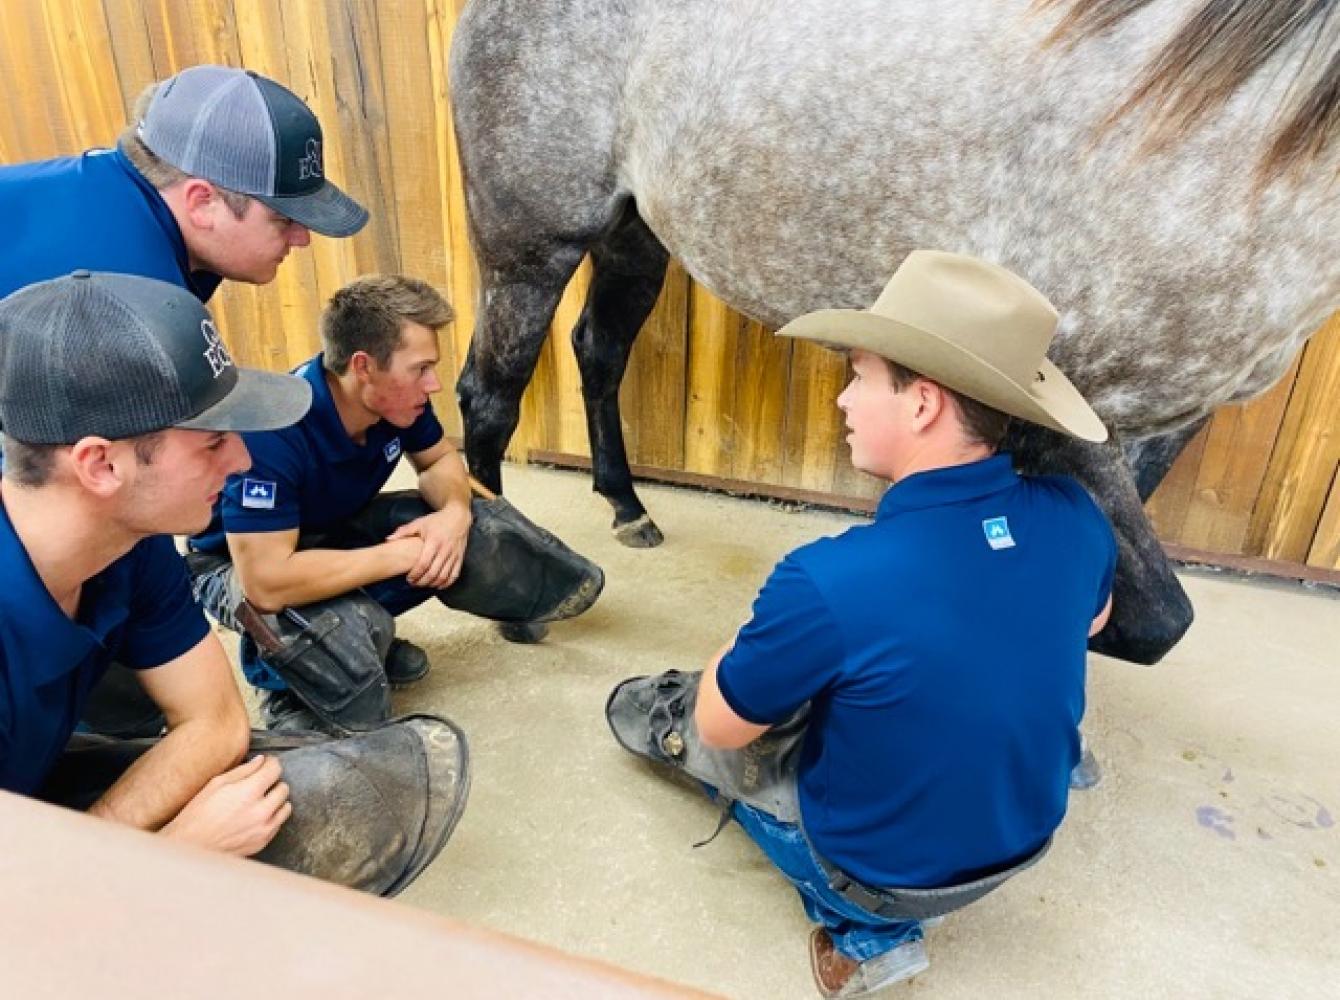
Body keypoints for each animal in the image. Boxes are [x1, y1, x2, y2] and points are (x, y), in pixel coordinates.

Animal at [450, 1, 1340, 662]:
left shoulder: (1165, 427)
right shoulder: (1061, 415)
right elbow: (1148, 613)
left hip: (632, 236)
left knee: (598, 354)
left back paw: (627, 507)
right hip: (531, 248)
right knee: (488, 396)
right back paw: (511, 598)